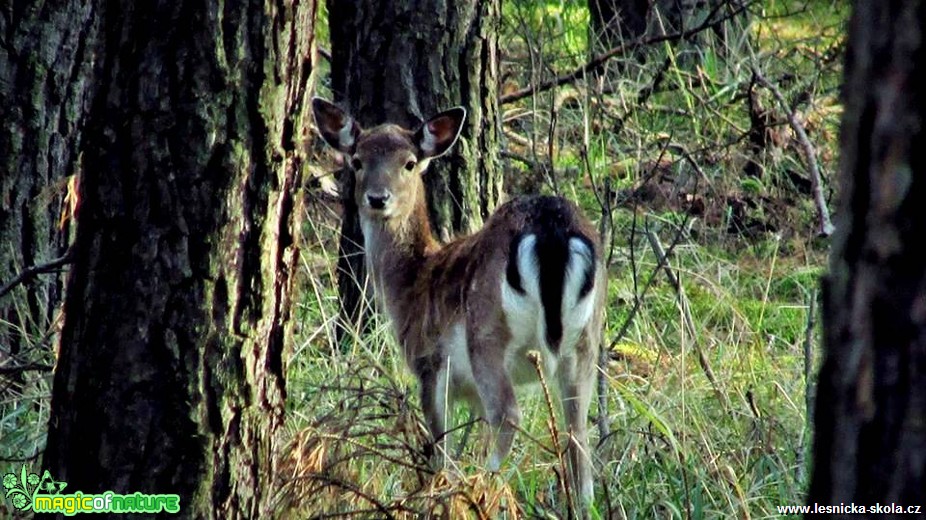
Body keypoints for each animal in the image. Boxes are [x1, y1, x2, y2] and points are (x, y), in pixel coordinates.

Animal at [316, 96, 608, 504]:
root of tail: (552, 232)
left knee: (508, 414)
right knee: (578, 432)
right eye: (357, 160)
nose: (377, 198)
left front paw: (437, 488)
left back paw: (479, 488)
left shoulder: (429, 362)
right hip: (586, 337)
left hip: (486, 334)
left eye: (409, 163)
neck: (412, 282)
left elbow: (440, 444)